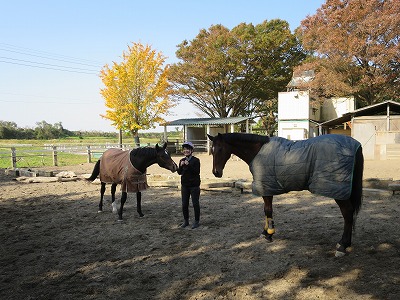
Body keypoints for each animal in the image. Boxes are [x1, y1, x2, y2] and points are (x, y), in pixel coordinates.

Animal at [208, 134, 364, 258]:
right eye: (211, 150)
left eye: (220, 149)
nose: (216, 172)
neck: (258, 151)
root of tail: (356, 144)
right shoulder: (267, 187)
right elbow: (266, 211)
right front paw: (265, 232)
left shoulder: (266, 188)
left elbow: (268, 210)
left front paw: (269, 234)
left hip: (338, 191)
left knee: (348, 213)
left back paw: (342, 246)